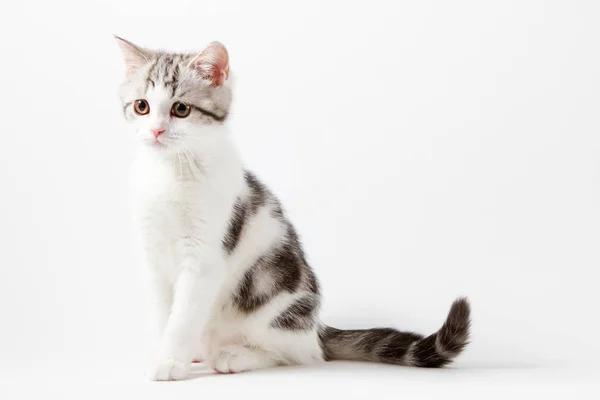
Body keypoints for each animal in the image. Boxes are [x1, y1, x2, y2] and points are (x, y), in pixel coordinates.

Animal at [115, 36, 472, 380]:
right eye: (142, 106)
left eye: (181, 109)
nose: (157, 131)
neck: (170, 171)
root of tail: (316, 328)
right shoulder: (154, 258)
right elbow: (164, 314)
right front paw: (168, 354)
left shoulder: (204, 259)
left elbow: (183, 316)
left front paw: (170, 361)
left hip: (276, 309)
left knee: (296, 354)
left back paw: (234, 356)